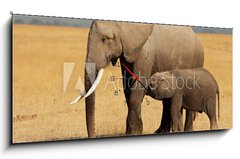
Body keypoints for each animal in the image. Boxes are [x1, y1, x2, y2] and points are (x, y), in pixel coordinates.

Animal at [70, 19, 203, 137]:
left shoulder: (145, 52)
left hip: (196, 60)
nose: (93, 135)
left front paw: (134, 132)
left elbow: (137, 87)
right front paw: (134, 131)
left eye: (106, 39)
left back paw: (186, 130)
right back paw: (161, 132)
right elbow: (127, 88)